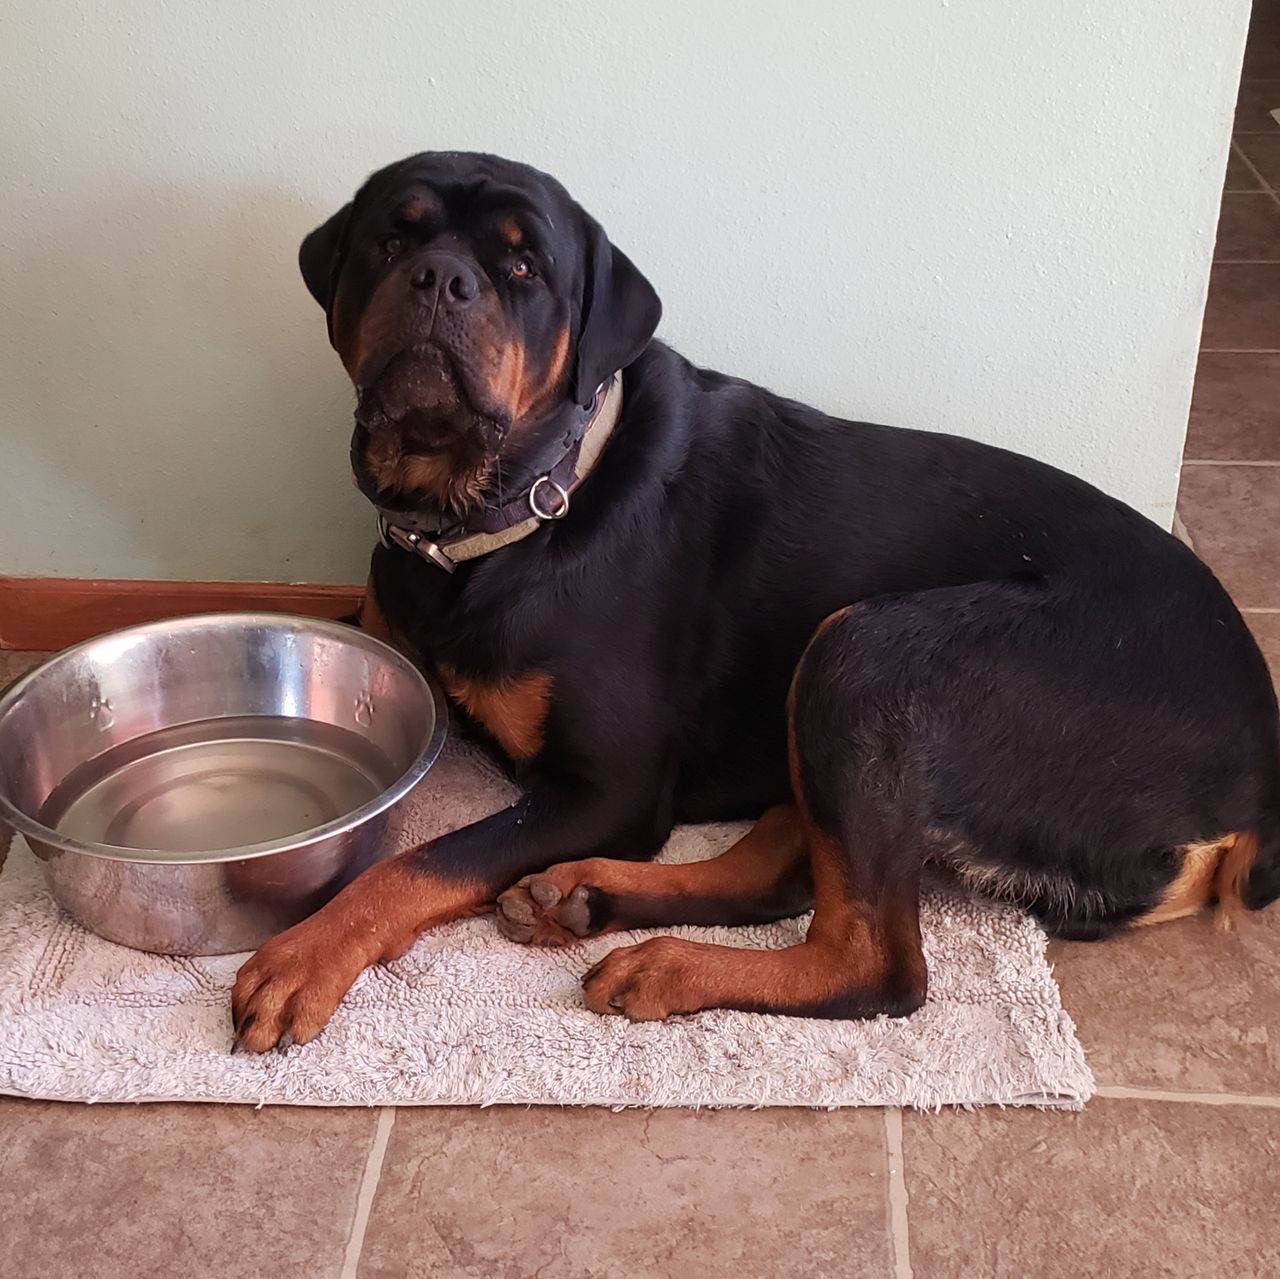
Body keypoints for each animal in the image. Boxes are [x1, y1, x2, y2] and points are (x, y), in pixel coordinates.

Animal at [230, 151, 1280, 1051]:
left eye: (524, 265)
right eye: (391, 240)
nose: (441, 279)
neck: (504, 508)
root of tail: (1253, 785)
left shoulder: (612, 783)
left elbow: (426, 857)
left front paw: (306, 951)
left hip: (869, 651)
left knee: (874, 962)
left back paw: (661, 961)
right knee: (785, 871)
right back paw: (586, 897)